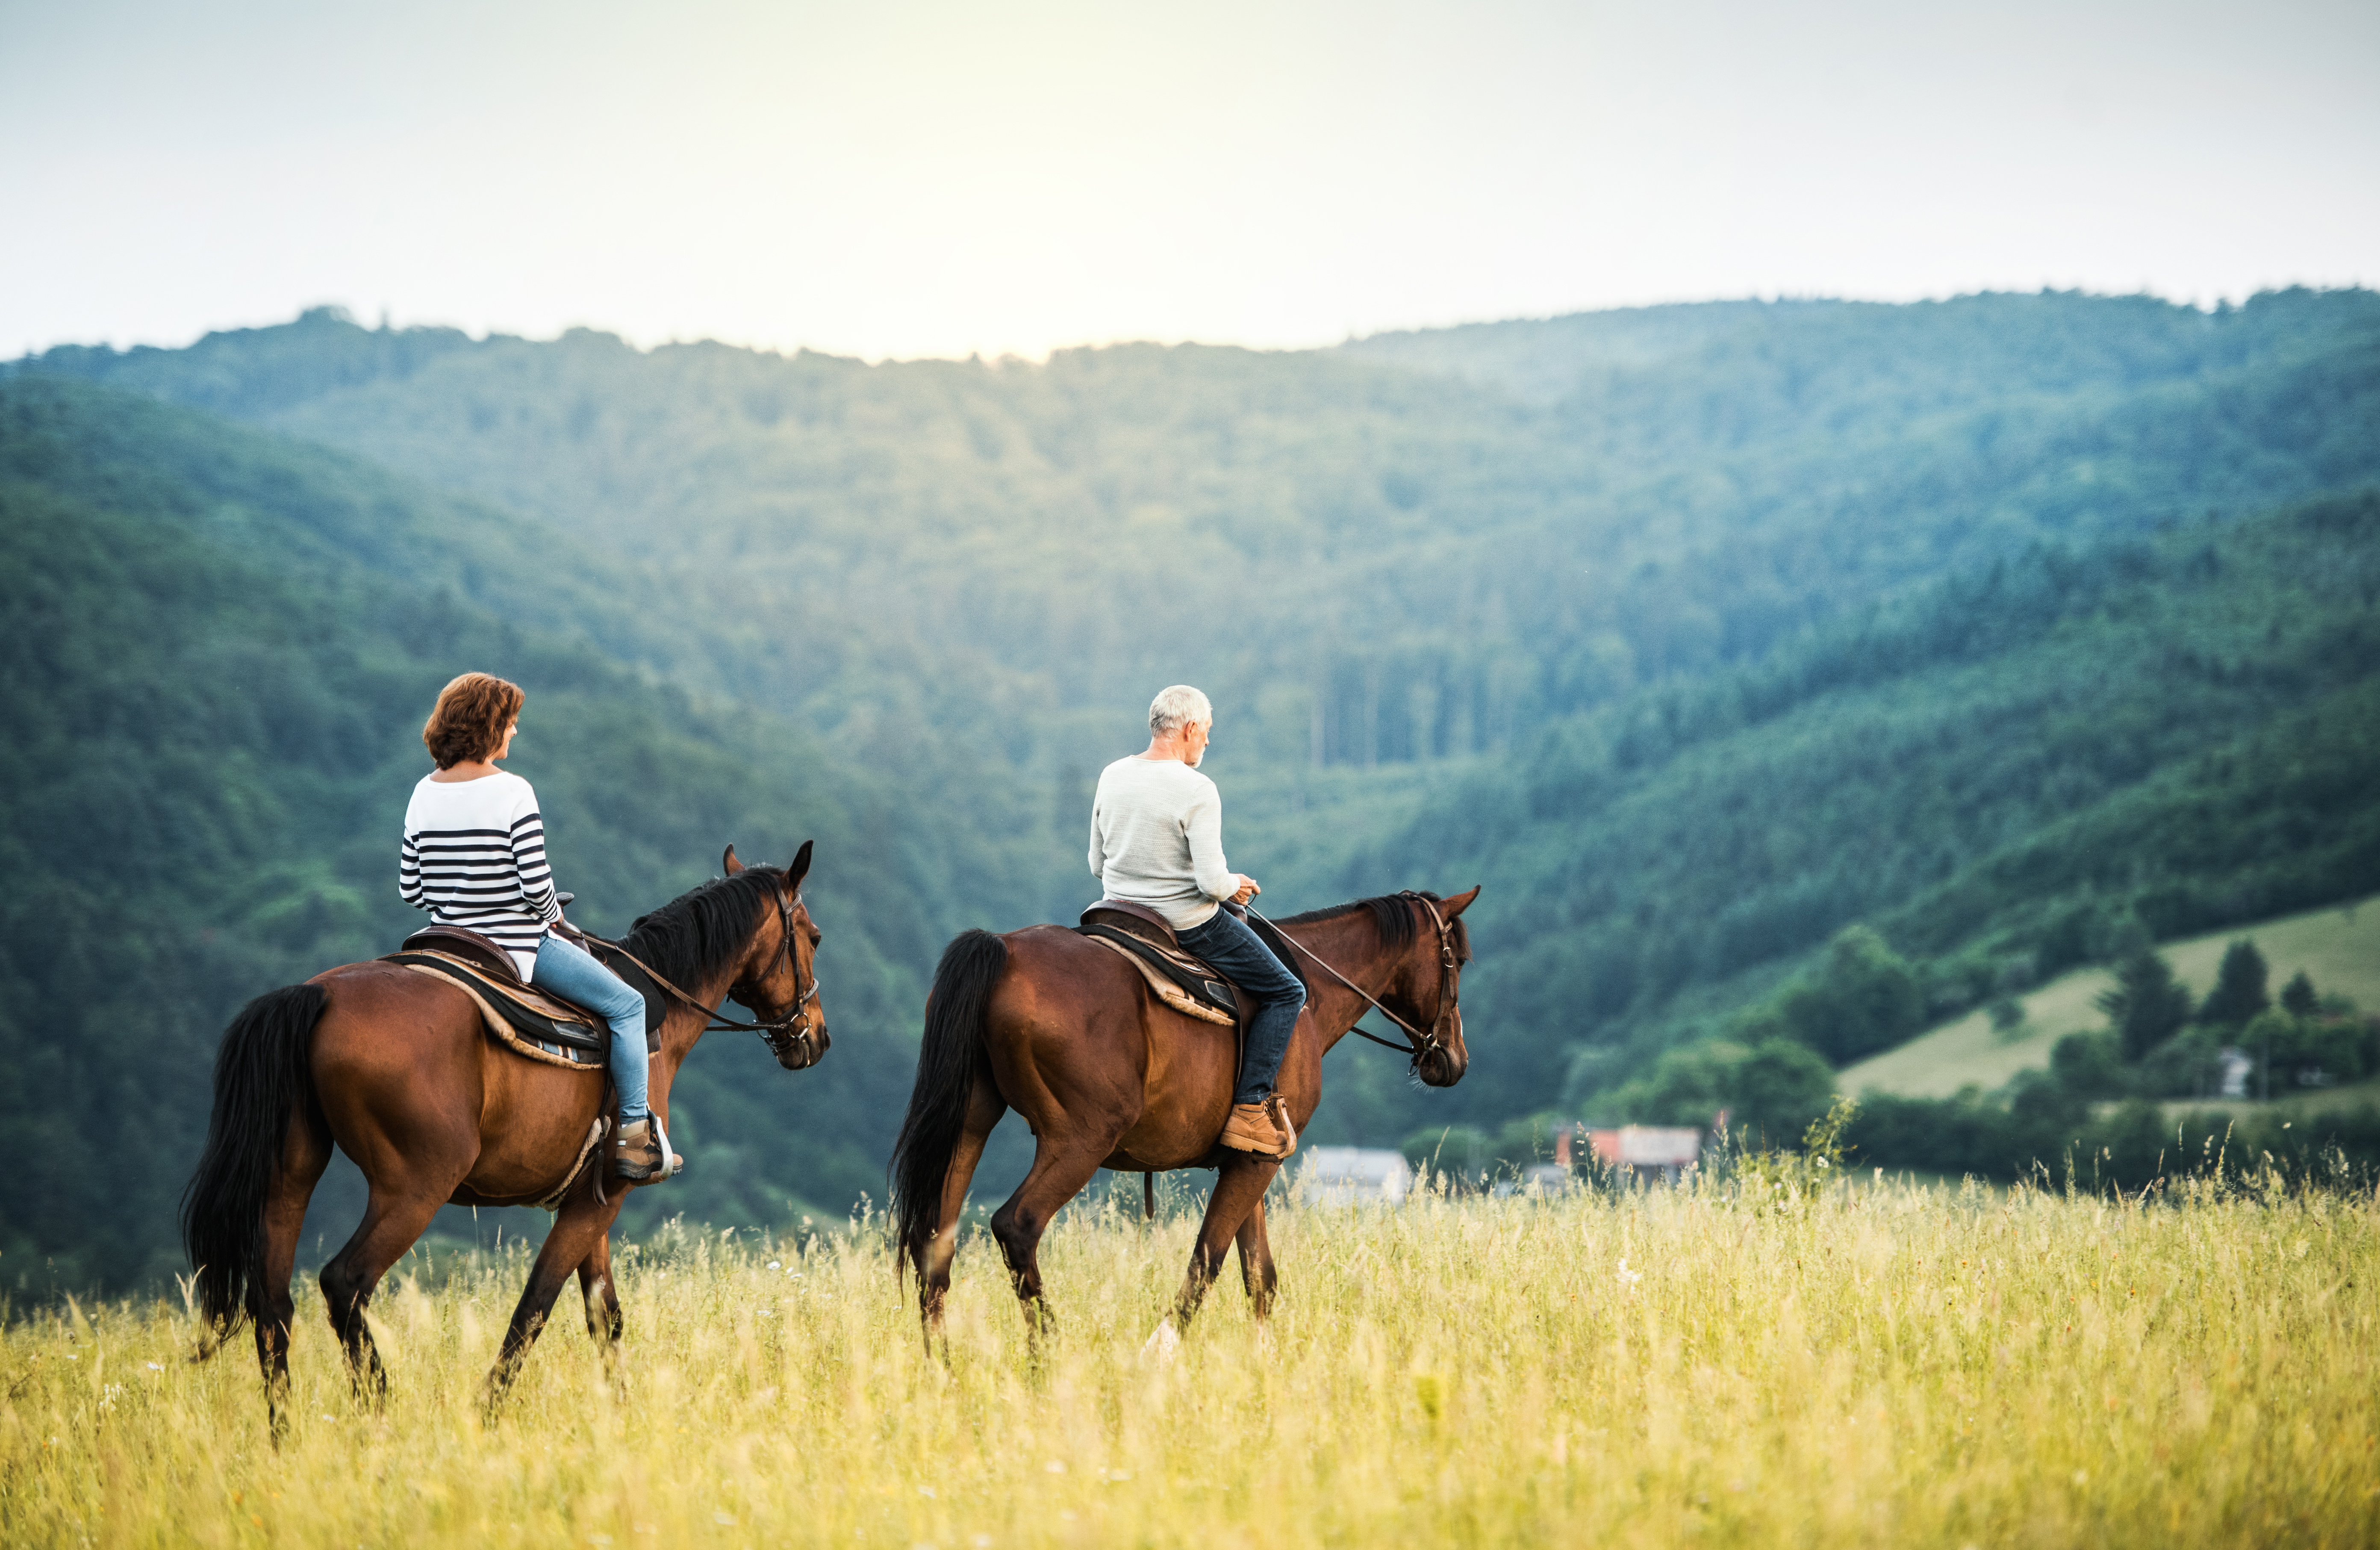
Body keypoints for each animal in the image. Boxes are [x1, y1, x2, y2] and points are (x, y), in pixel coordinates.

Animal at [178, 843, 828, 1428]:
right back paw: (379, 1415)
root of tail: (320, 993)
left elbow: (604, 1317)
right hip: (415, 1187)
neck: (656, 1016)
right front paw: (487, 1412)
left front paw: (622, 1414)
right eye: (814, 937)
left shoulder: (591, 1199)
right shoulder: (601, 1201)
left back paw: (283, 1433)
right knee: (345, 1282)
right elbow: (535, 1306)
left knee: (272, 1304)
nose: (816, 1036)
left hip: (290, 1179)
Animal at [890, 890, 1466, 1352]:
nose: (1454, 1059)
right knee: (1016, 1225)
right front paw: (1161, 1350)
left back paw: (942, 1366)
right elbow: (1207, 1260)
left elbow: (1260, 1276)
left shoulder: (1252, 1157)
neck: (1309, 993)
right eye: (1458, 959)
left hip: (969, 1127)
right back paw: (1046, 1356)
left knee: (935, 1244)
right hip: (1080, 1140)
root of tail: (1004, 951)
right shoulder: (1260, 1164)